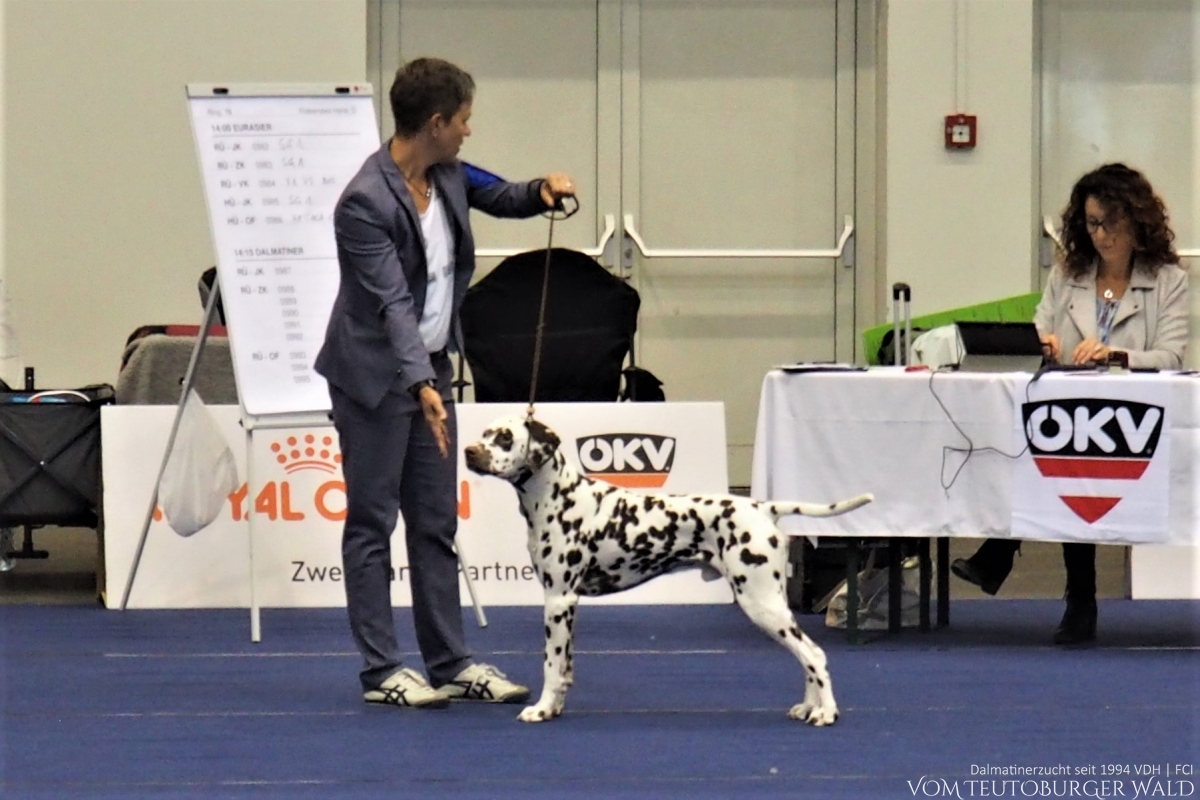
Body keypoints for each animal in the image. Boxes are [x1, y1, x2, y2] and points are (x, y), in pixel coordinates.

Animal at [460, 412, 873, 724]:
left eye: (505, 438)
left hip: (761, 604)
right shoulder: (567, 604)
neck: (558, 497)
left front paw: (542, 709)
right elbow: (565, 669)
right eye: (484, 433)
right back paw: (809, 706)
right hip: (773, 604)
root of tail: (762, 507)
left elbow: (551, 662)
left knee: (814, 655)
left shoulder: (558, 599)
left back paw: (827, 713)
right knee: (806, 658)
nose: (468, 451)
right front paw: (556, 707)